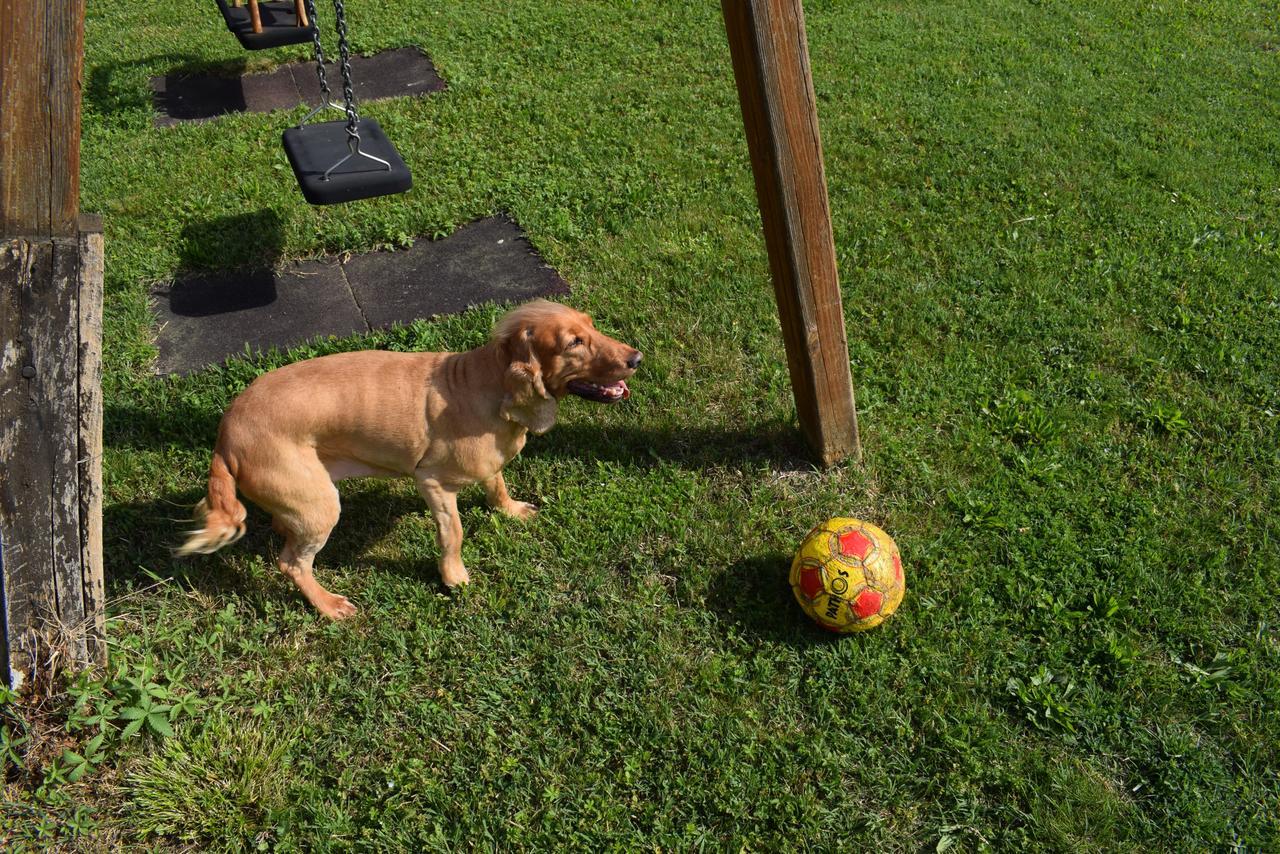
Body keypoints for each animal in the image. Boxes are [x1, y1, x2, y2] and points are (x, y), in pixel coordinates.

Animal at [177, 302, 640, 622]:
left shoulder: (487, 466)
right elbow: (453, 534)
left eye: (592, 325)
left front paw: (509, 510)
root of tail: (225, 436)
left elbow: (497, 482)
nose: (636, 359)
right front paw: (454, 578)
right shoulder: (432, 482)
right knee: (292, 563)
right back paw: (327, 604)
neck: (489, 383)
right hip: (320, 506)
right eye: (573, 343)